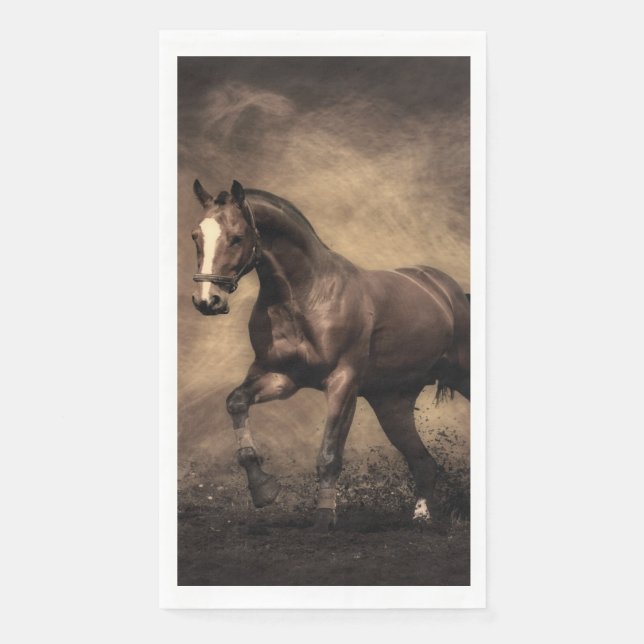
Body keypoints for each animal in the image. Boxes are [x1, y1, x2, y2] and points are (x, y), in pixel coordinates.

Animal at [190, 178, 470, 532]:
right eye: (195, 236)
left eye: (237, 237)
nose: (207, 301)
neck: (306, 296)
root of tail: (450, 292)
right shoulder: (281, 378)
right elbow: (236, 403)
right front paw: (263, 489)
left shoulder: (342, 383)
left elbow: (329, 454)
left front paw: (324, 517)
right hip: (392, 403)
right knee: (424, 463)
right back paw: (422, 517)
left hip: (463, 377)